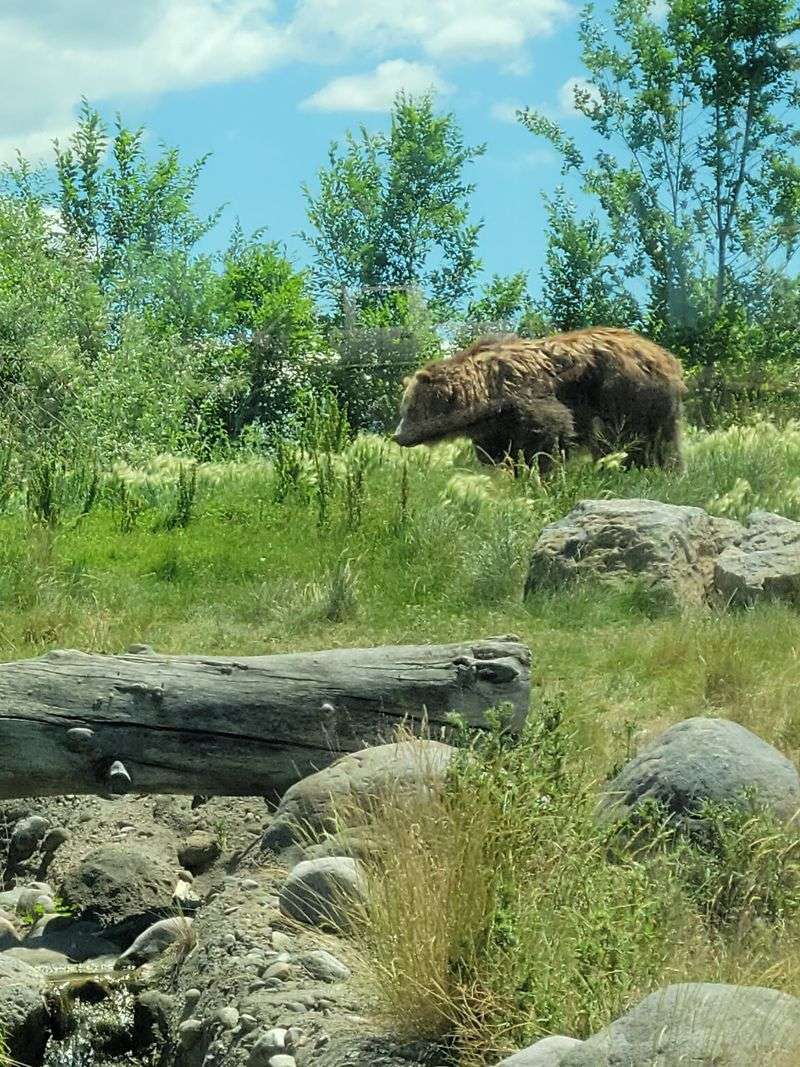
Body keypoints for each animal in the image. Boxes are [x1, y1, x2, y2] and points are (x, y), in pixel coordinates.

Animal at [393, 326, 687, 474]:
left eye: (410, 409)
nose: (397, 436)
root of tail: (666, 357)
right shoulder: (499, 425)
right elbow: (499, 450)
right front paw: (509, 468)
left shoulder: (528, 398)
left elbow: (549, 434)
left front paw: (541, 470)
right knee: (664, 442)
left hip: (623, 393)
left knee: (622, 438)